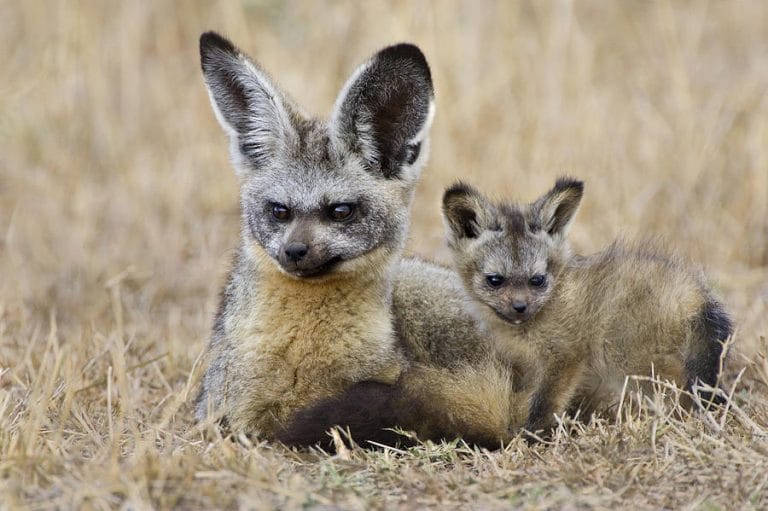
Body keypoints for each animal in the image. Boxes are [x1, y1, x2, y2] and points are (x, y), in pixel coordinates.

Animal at [441, 178, 733, 437]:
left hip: (628, 355)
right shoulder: (530, 367)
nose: (520, 307)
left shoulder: (564, 357)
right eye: (495, 280)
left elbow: (544, 403)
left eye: (537, 280)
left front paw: (531, 434)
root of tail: (696, 293)